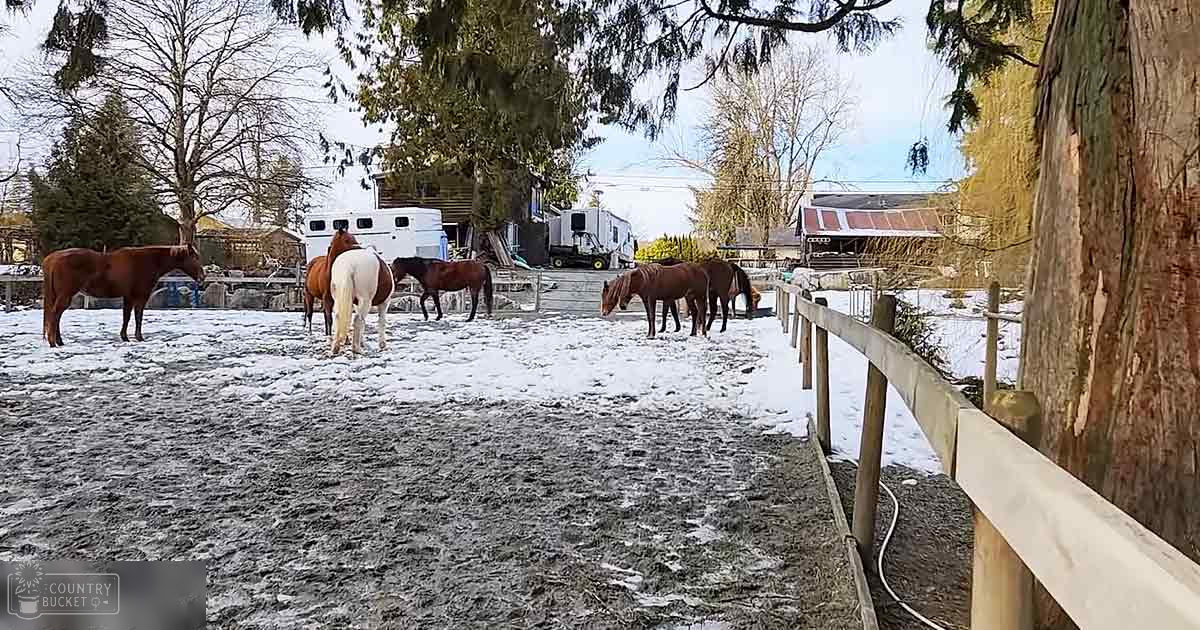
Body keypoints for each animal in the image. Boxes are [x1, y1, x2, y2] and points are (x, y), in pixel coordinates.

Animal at [40, 245, 205, 347]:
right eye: (194, 258)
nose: (202, 277)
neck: (147, 261)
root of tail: (53, 258)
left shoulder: (128, 297)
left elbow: (126, 317)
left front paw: (124, 337)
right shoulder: (140, 297)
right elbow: (138, 316)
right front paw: (139, 337)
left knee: (56, 316)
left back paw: (59, 341)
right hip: (65, 295)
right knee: (55, 314)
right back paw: (53, 342)